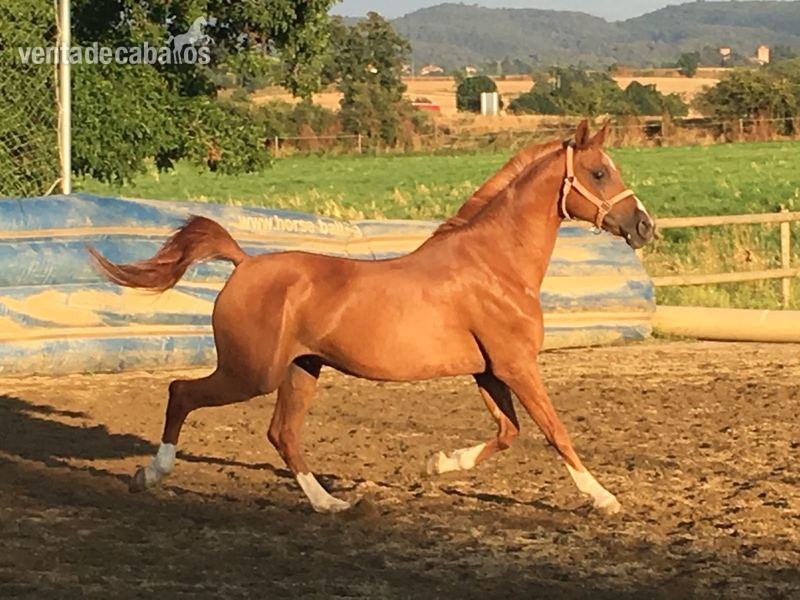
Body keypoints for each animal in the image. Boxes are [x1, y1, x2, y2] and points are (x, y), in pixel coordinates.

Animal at [87, 121, 655, 515]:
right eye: (599, 172)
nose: (644, 226)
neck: (495, 264)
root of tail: (244, 262)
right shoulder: (516, 365)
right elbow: (556, 432)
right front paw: (604, 499)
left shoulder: (490, 371)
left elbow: (509, 431)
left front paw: (439, 463)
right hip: (251, 373)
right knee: (182, 393)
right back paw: (150, 475)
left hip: (301, 370)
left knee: (282, 435)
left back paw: (332, 504)